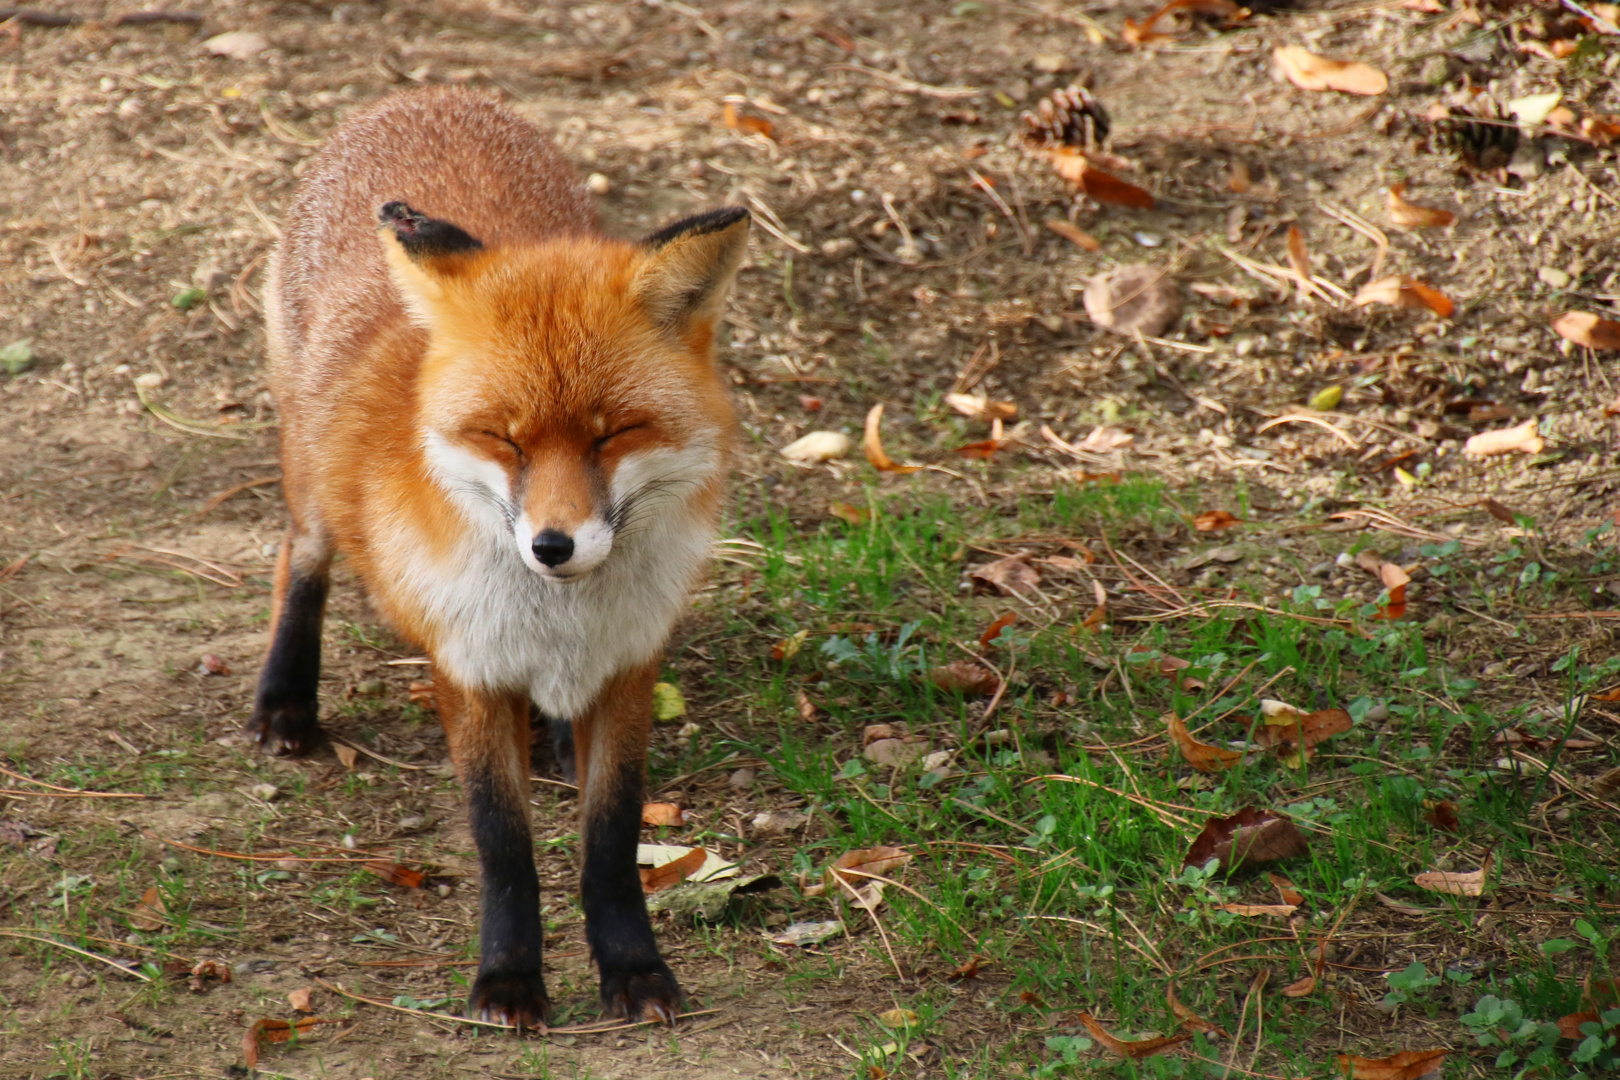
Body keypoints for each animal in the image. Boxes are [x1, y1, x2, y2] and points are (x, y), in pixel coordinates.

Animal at [247, 86, 751, 1029]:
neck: (558, 617)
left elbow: (611, 838)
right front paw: (510, 979)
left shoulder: (630, 666)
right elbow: (503, 843)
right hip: (311, 484)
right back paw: (284, 699)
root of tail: (427, 95)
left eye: (612, 434)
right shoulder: (469, 667)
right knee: (299, 560)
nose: (553, 546)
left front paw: (633, 967)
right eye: (503, 440)